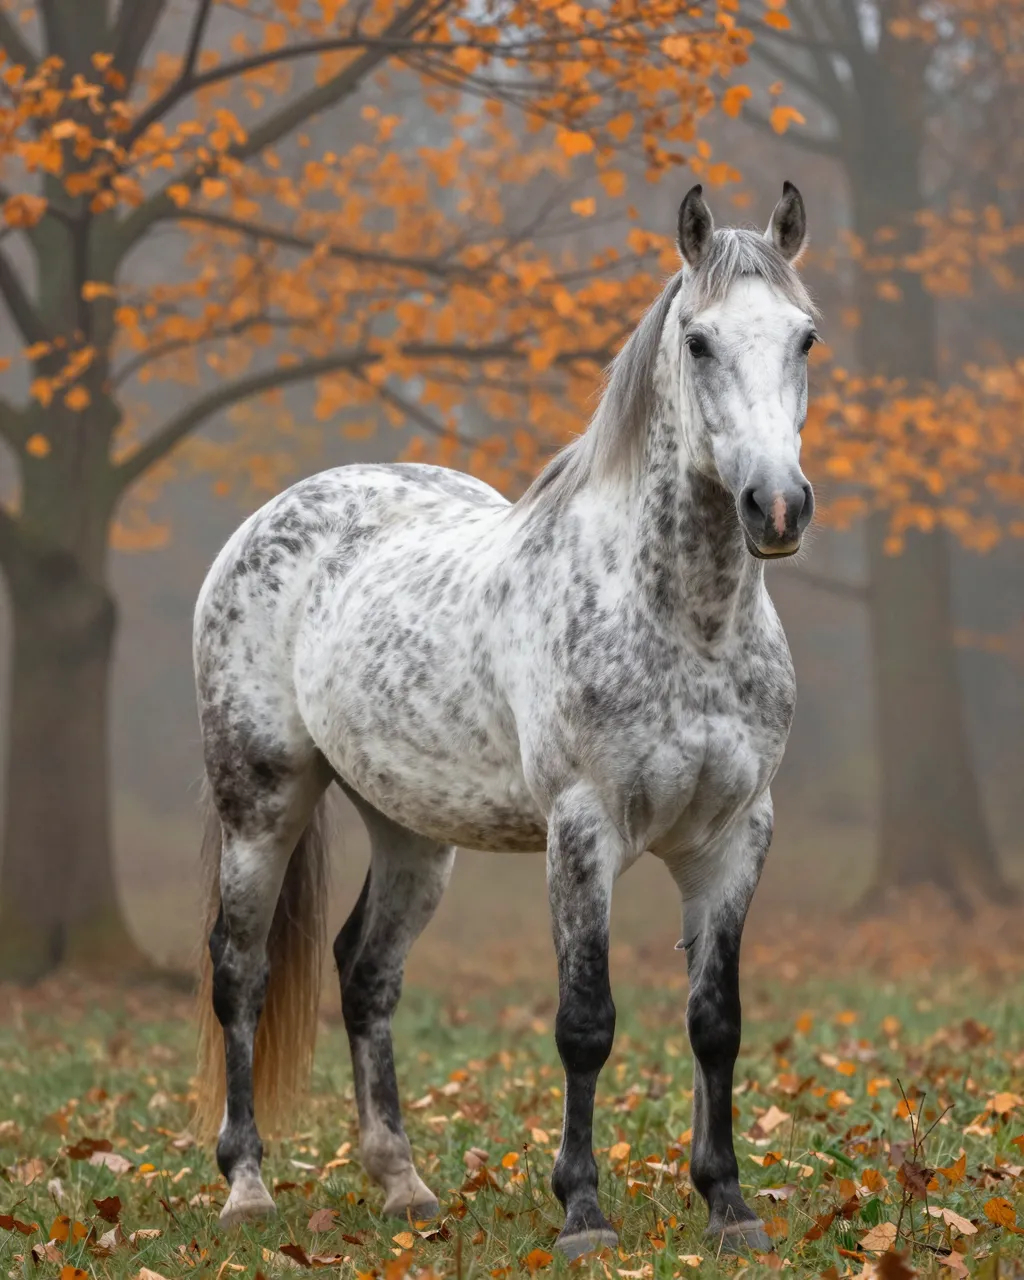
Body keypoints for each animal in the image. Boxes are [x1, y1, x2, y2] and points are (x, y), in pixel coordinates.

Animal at [192, 181, 818, 1259]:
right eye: (697, 342)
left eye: (805, 337)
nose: (776, 508)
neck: (683, 621)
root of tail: (269, 521)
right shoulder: (582, 831)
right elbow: (585, 1021)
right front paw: (583, 1212)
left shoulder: (735, 836)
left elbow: (715, 1021)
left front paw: (729, 1205)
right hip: (261, 805)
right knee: (241, 971)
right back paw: (248, 1190)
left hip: (410, 827)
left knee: (365, 971)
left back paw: (403, 1184)